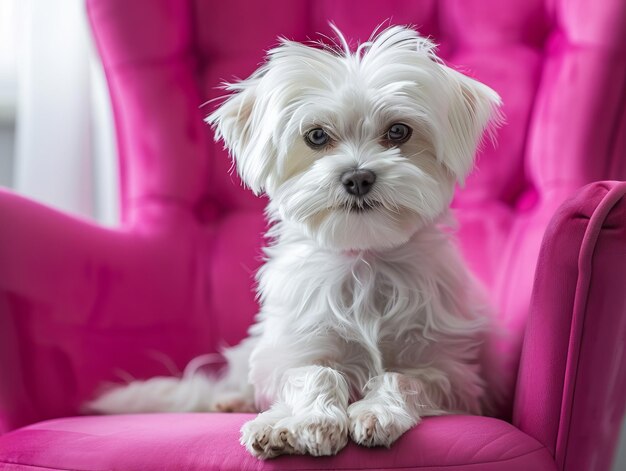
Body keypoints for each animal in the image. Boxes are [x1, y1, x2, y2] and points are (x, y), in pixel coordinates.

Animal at [90, 26, 502, 460]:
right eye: (316, 136)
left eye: (398, 131)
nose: (358, 177)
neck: (364, 259)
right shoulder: (293, 349)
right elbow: (314, 373)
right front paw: (307, 421)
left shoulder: (454, 373)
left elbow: (402, 378)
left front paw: (375, 412)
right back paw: (235, 401)